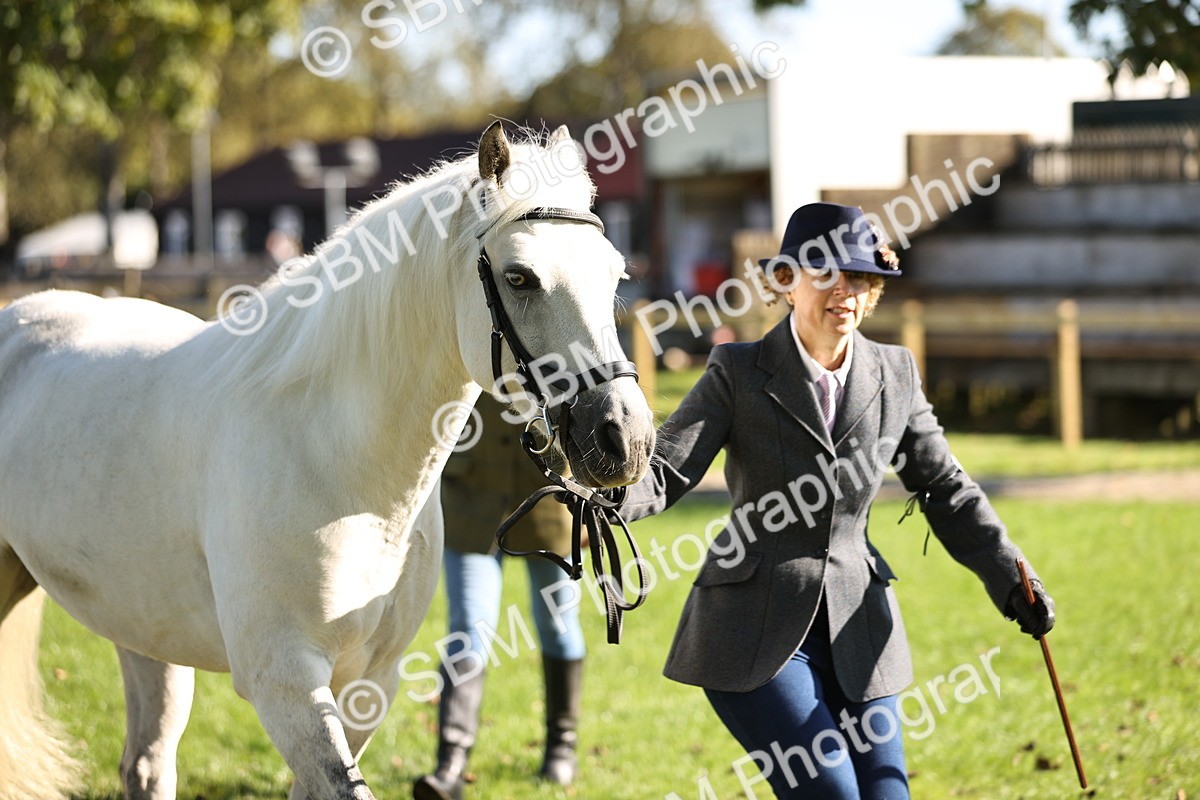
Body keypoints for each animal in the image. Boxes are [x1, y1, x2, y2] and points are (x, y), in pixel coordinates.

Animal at [0, 122, 655, 800]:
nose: (624, 436)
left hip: (145, 630)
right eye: (520, 276)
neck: (343, 470)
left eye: (614, 273)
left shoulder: (370, 681)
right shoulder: (284, 681)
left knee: (148, 764)